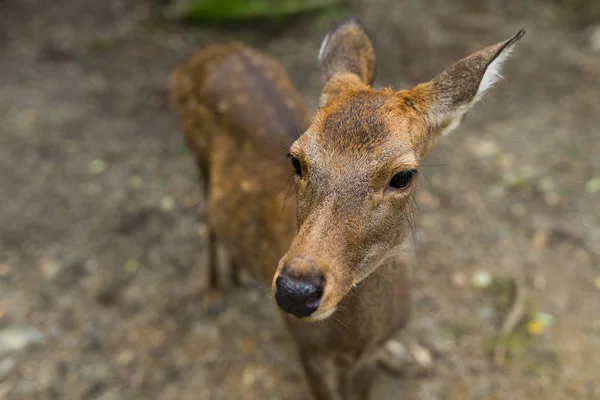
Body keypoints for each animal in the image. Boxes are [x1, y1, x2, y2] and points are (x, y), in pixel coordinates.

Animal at [168, 18, 520, 400]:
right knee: (207, 218)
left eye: (403, 175)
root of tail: (204, 53)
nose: (296, 292)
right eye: (296, 159)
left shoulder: (368, 356)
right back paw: (214, 295)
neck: (353, 338)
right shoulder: (308, 349)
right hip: (194, 149)